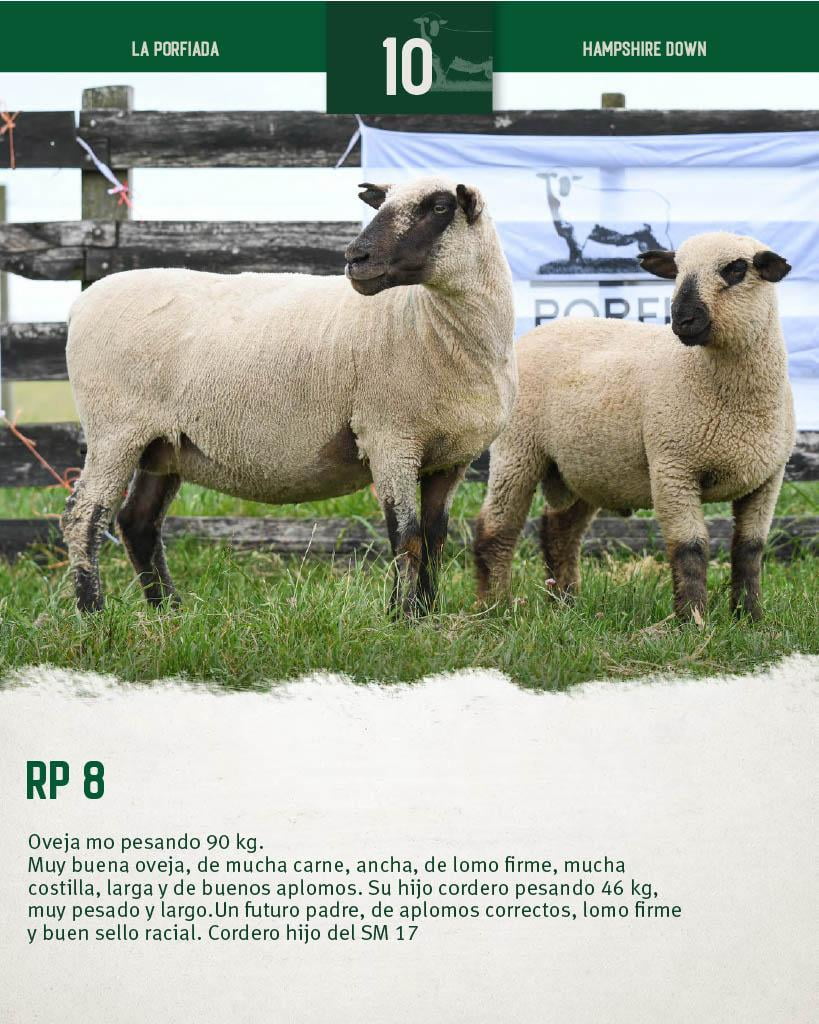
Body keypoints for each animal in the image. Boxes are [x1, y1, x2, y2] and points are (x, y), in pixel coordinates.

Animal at [63, 177, 516, 616]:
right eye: (383, 205)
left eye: (439, 208)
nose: (356, 257)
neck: (432, 325)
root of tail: (82, 301)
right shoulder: (390, 439)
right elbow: (406, 538)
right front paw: (402, 619)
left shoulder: (452, 458)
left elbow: (435, 538)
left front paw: (427, 615)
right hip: (114, 430)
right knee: (83, 517)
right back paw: (94, 614)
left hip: (163, 444)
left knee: (137, 521)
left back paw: (168, 612)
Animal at [474, 231, 794, 621]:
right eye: (677, 270)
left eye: (736, 269)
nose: (682, 319)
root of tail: (537, 330)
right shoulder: (672, 468)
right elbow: (690, 548)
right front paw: (693, 620)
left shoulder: (768, 478)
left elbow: (749, 549)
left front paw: (750, 617)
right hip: (518, 448)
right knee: (496, 527)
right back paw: (494, 606)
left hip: (585, 467)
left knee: (559, 530)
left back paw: (565, 603)